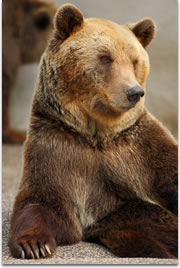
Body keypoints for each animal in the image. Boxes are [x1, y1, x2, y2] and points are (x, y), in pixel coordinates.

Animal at [8, 4, 177, 260]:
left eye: (135, 61)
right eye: (105, 58)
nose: (134, 92)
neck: (96, 133)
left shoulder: (139, 147)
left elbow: (170, 172)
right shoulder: (56, 146)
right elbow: (41, 202)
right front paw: (34, 245)